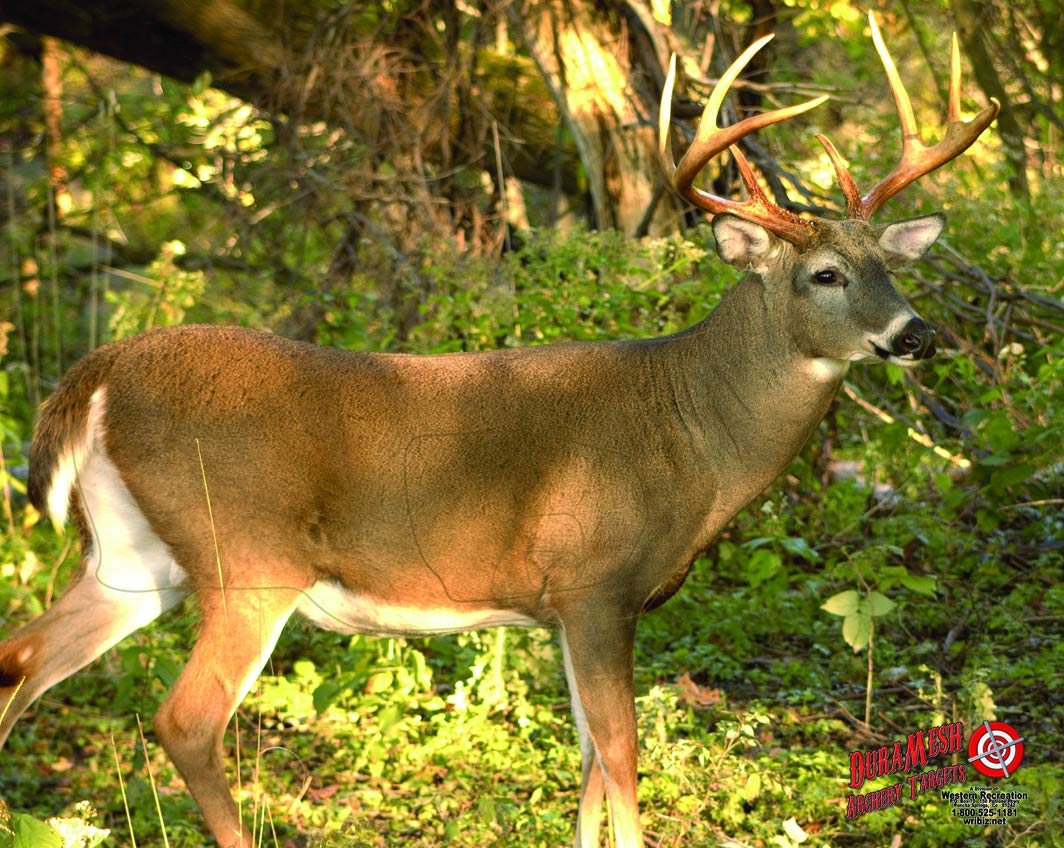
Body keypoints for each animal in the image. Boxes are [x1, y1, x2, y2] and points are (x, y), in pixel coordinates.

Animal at [0, 16, 995, 846]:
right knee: (187, 721)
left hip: (137, 558)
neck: (692, 429)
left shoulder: (569, 608)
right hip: (247, 554)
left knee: (24, 654)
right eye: (825, 273)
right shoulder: (596, 582)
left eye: (891, 266)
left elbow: (590, 772)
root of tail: (98, 374)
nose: (917, 334)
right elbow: (623, 763)